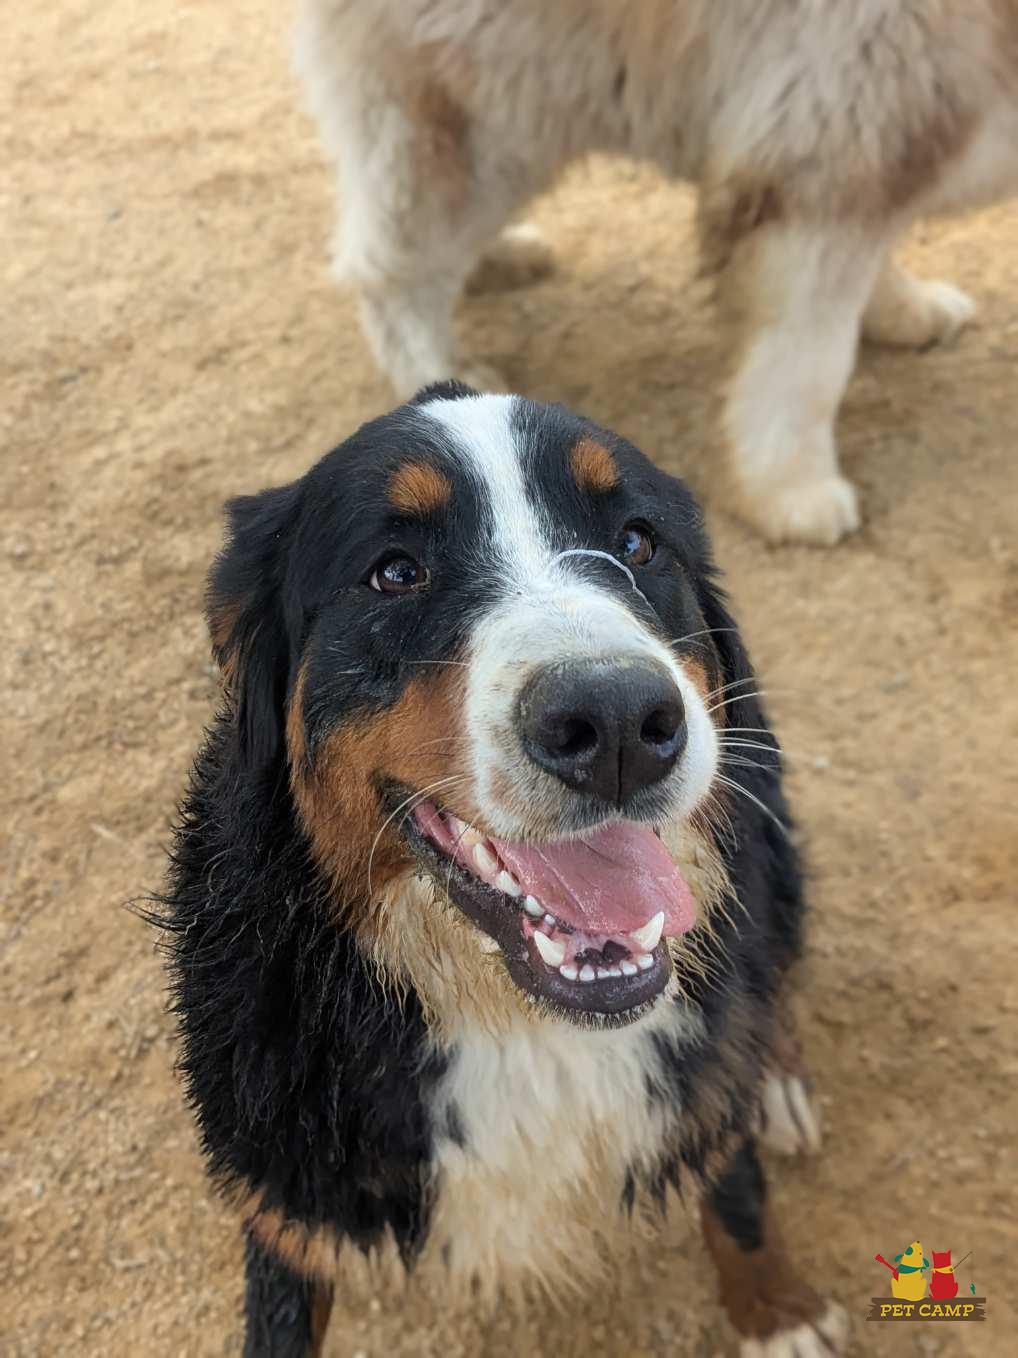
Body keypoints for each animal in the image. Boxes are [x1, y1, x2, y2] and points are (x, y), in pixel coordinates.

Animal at [160, 385, 846, 1355]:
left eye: (638, 542)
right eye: (395, 572)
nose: (618, 718)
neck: (520, 1027)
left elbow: (734, 1180)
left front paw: (776, 1311)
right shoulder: (283, 1189)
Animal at [293, 0, 1018, 546]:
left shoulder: (876, 140)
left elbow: (871, 268)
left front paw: (903, 307)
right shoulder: (826, 152)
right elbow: (809, 360)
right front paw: (790, 487)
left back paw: (499, 259)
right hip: (485, 113)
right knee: (394, 268)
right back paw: (440, 377)